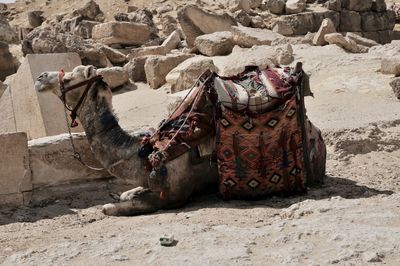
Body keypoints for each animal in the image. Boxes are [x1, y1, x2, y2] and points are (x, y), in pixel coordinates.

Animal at [35, 65, 324, 216]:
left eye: (68, 77)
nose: (39, 78)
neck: (143, 154)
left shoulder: (173, 196)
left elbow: (113, 207)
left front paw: (111, 205)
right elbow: (128, 193)